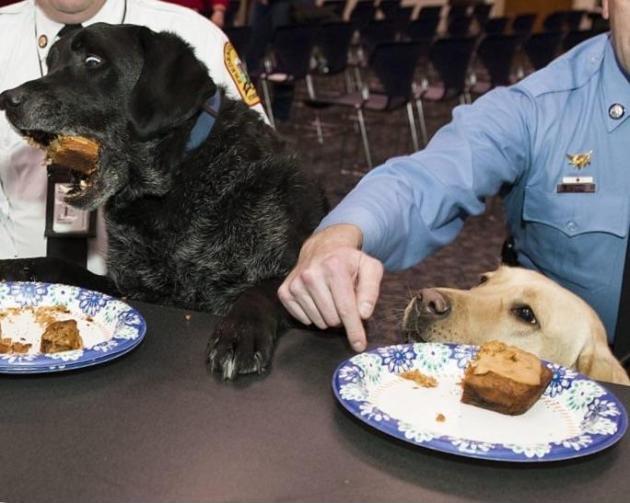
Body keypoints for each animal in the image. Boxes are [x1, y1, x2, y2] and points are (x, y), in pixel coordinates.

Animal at [0, 22, 326, 378]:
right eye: (51, 62)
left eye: (93, 61)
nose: (7, 99)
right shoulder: (129, 287)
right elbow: (53, 264)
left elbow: (265, 290)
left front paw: (240, 333)